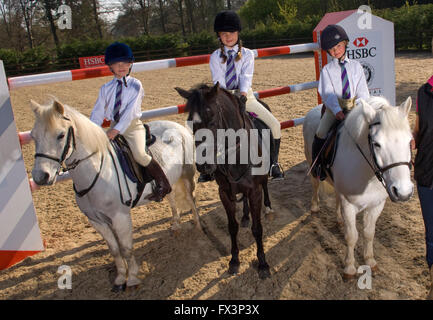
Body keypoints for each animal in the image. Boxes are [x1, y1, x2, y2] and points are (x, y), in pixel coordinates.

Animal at [29, 99, 198, 292]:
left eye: (61, 135)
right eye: (33, 136)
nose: (40, 177)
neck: (97, 171)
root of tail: (177, 127)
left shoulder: (120, 217)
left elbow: (126, 248)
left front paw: (132, 279)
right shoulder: (96, 221)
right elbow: (115, 249)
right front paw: (120, 279)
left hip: (187, 175)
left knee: (192, 199)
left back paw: (197, 226)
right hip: (170, 179)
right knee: (171, 199)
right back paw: (176, 224)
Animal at [176, 82, 270, 278]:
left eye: (212, 120)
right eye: (190, 122)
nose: (204, 165)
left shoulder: (255, 191)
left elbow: (257, 228)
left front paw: (263, 263)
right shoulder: (225, 193)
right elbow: (232, 226)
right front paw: (234, 261)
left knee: (266, 186)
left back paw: (268, 208)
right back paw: (245, 216)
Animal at [302, 96, 414, 278]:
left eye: (410, 140)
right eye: (376, 144)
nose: (403, 192)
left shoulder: (376, 205)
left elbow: (369, 233)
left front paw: (370, 261)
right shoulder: (349, 205)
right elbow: (352, 236)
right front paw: (349, 267)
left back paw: (338, 219)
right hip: (312, 165)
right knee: (315, 185)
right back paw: (314, 207)